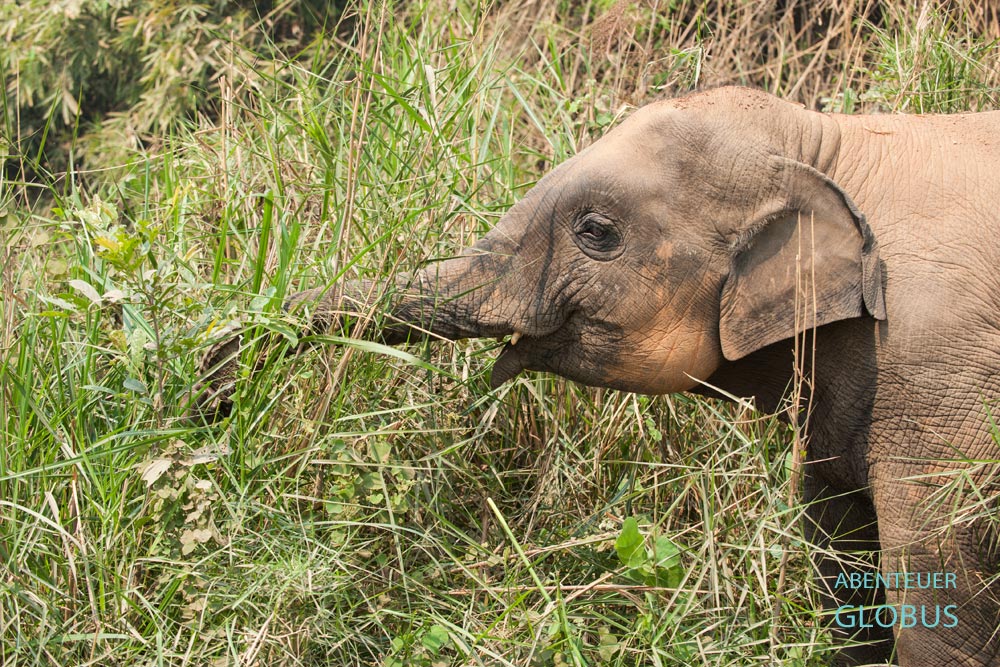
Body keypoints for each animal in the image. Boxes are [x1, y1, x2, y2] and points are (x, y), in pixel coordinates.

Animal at [196, 86, 1000, 665]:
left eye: (596, 233)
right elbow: (838, 560)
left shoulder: (939, 373)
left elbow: (939, 586)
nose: (212, 399)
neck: (830, 140)